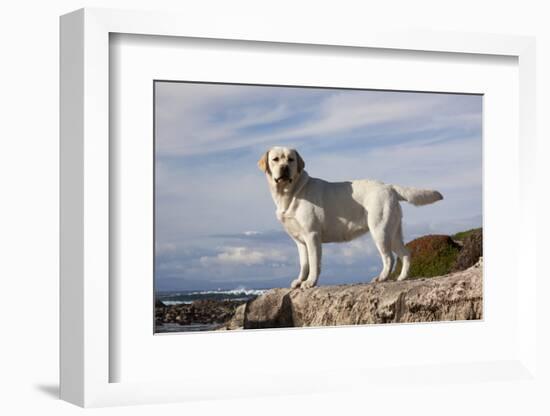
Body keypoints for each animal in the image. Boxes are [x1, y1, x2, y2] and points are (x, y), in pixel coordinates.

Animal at [260, 147, 446, 290]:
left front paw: (310, 282)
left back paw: (382, 278)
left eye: (291, 159)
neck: (290, 192)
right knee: (405, 253)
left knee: (389, 258)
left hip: (379, 230)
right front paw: (300, 281)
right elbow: (304, 263)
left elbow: (313, 263)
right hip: (393, 231)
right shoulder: (300, 241)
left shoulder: (312, 235)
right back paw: (402, 278)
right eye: (275, 159)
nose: (284, 168)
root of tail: (389, 186)